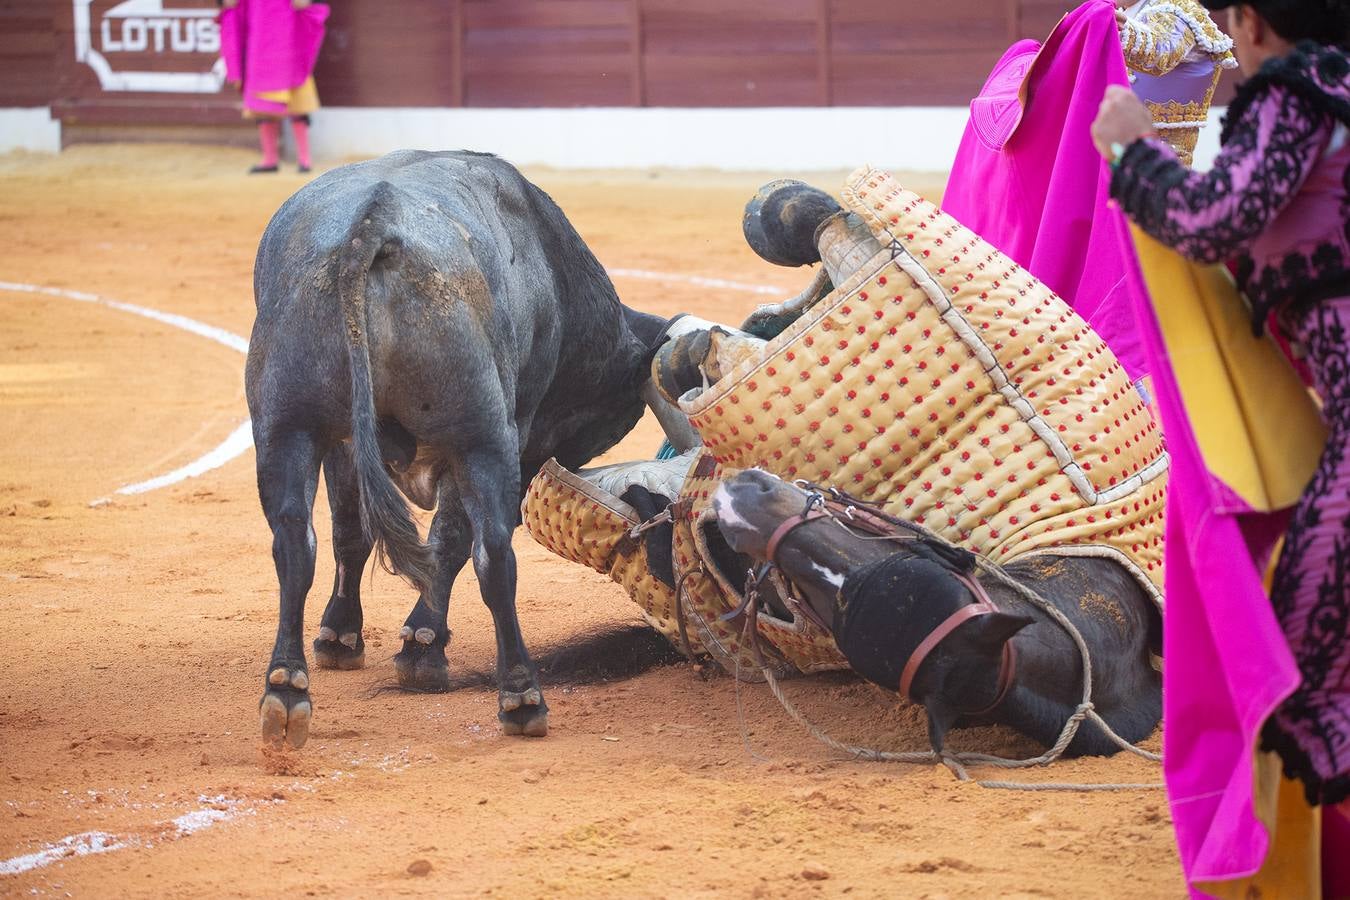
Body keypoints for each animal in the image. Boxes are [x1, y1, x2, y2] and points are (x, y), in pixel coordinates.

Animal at [245, 151, 666, 750]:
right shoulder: (502, 436)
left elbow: (356, 534)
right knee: (491, 552)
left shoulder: (344, 440)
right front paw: (417, 645)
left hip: (287, 428)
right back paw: (519, 696)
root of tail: (372, 224)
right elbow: (446, 539)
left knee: (294, 546)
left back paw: (286, 691)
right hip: (482, 436)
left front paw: (345, 636)